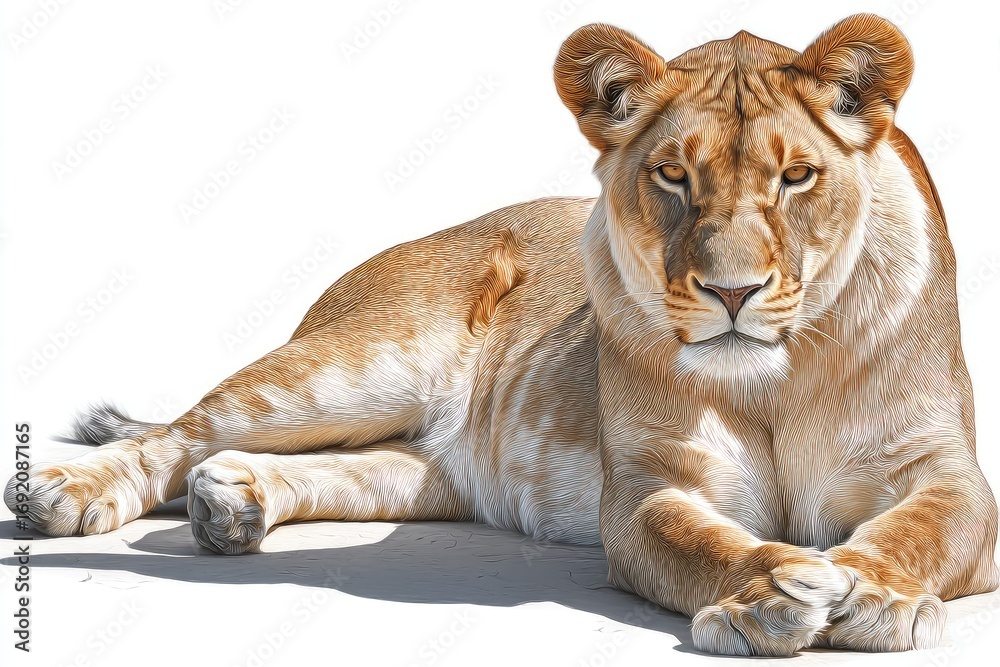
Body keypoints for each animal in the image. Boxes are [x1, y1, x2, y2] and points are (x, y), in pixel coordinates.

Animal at [6, 14, 998, 656]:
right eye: (673, 176)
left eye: (796, 177)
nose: (731, 291)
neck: (778, 377)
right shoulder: (649, 485)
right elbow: (702, 542)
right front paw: (769, 590)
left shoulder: (943, 471)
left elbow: (925, 530)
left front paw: (875, 590)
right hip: (358, 364)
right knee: (183, 429)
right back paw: (63, 491)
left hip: (430, 463)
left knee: (351, 466)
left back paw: (233, 501)